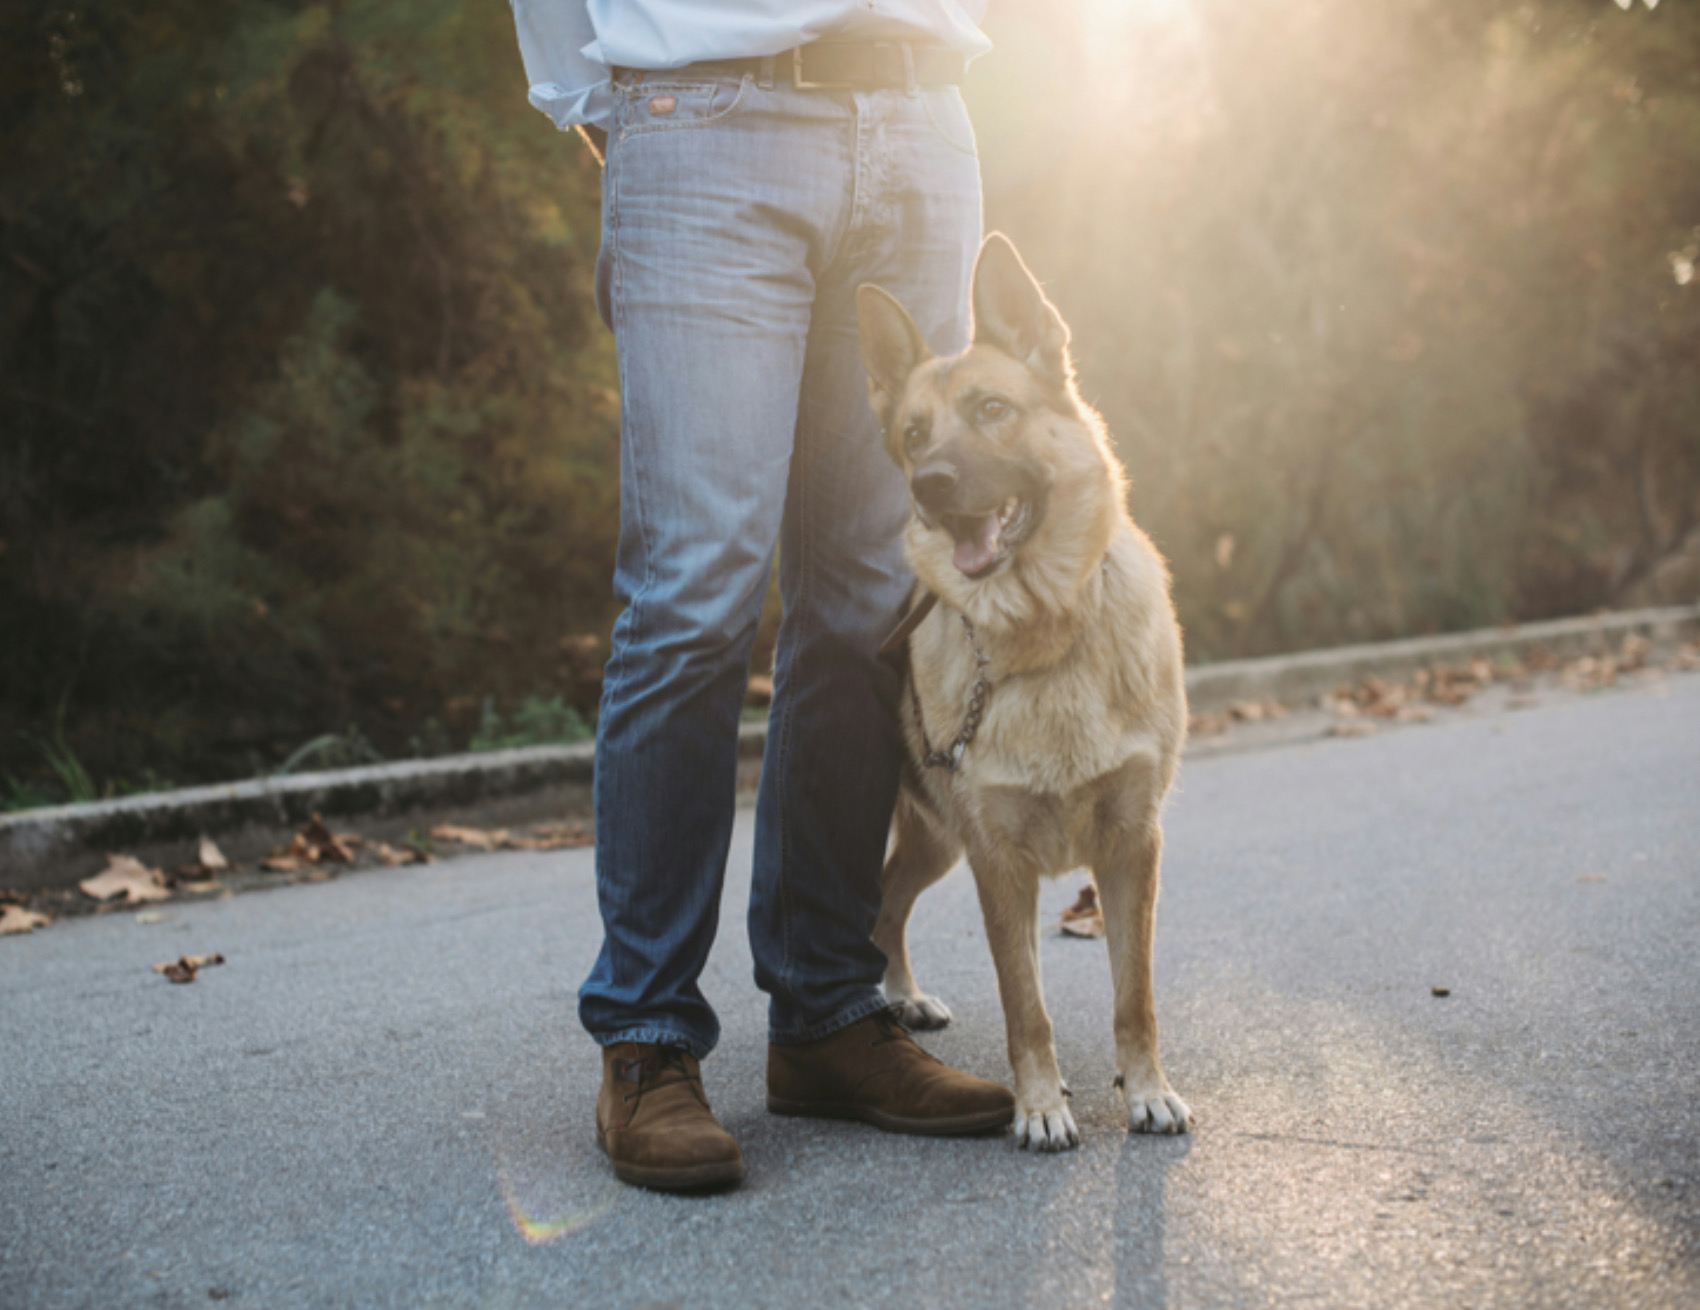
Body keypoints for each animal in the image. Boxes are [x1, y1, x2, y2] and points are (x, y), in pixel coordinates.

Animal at [856, 237, 1190, 1155]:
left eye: (993, 409)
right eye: (912, 434)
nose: (930, 484)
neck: (1044, 633)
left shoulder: (1132, 848)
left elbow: (1134, 995)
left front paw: (1147, 1090)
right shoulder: (998, 864)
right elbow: (1025, 1004)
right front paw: (1039, 1104)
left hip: (936, 845)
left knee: (886, 908)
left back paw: (901, 995)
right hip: (934, 839)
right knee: (872, 911)